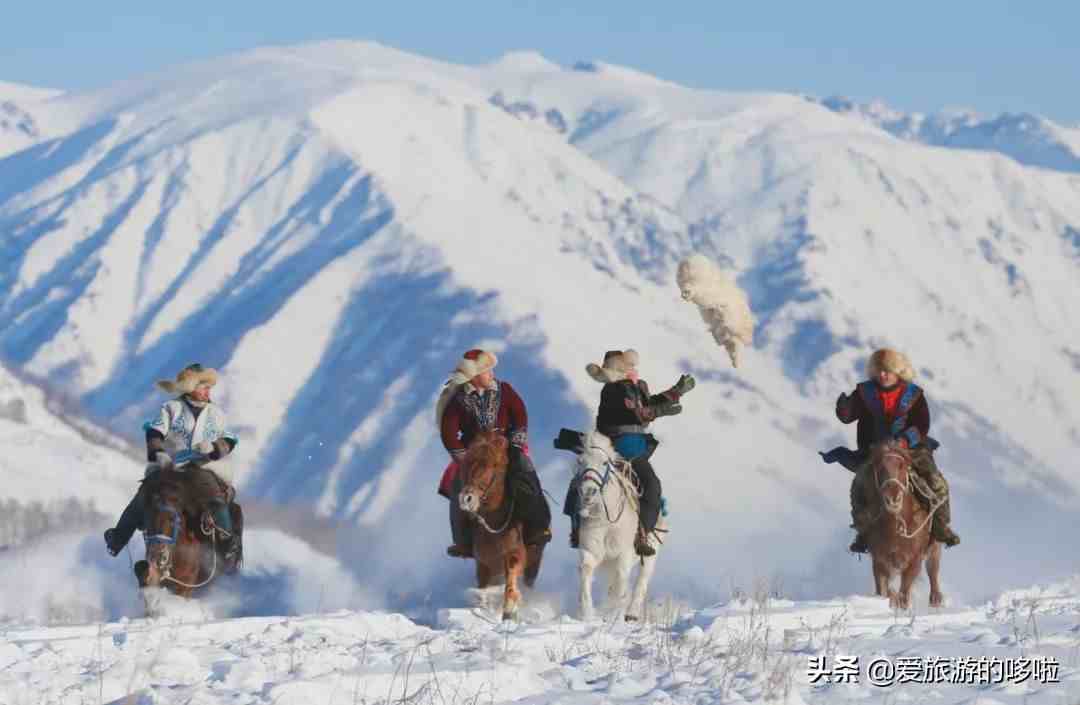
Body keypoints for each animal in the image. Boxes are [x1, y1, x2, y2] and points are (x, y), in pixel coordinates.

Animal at [455, 425, 544, 617]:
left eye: (493, 465)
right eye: (466, 464)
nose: (466, 499)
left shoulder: (514, 552)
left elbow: (511, 575)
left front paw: (510, 608)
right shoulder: (483, 563)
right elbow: (483, 586)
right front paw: (482, 601)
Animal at [578, 429, 660, 621]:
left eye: (604, 462)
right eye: (580, 461)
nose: (588, 492)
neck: (606, 520)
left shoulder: (624, 554)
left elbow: (621, 580)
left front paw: (613, 610)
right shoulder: (591, 550)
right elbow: (586, 570)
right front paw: (587, 613)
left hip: (650, 558)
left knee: (640, 583)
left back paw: (631, 614)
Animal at [859, 442, 946, 608]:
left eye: (903, 466)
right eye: (880, 467)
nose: (893, 498)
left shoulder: (914, 561)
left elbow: (904, 596)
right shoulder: (879, 561)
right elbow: (884, 591)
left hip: (934, 548)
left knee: (933, 570)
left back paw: (936, 599)